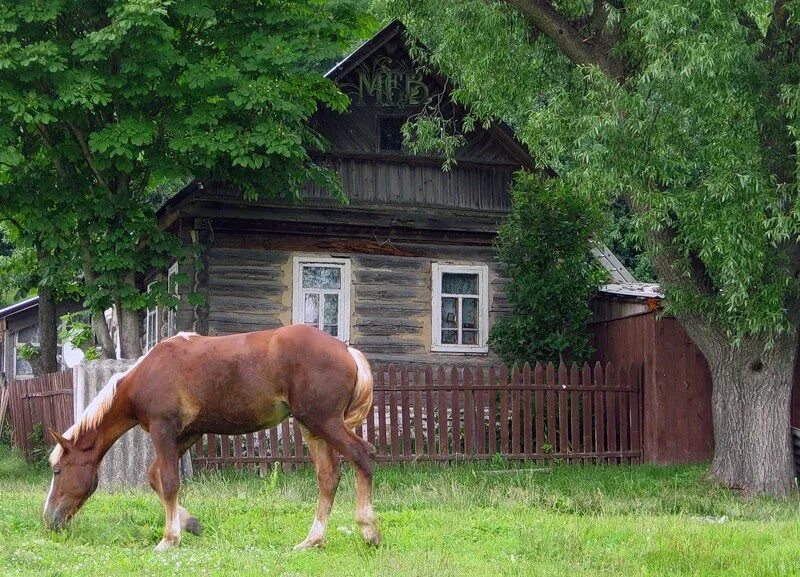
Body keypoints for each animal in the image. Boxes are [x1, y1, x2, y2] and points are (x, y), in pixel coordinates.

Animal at [41, 324, 382, 548]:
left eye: (58, 471)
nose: (49, 520)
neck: (148, 373)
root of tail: (346, 349)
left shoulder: (163, 430)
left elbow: (169, 482)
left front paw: (169, 539)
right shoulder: (189, 434)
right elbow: (155, 477)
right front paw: (190, 524)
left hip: (325, 422)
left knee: (362, 456)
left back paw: (369, 532)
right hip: (311, 428)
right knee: (328, 477)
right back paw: (312, 540)